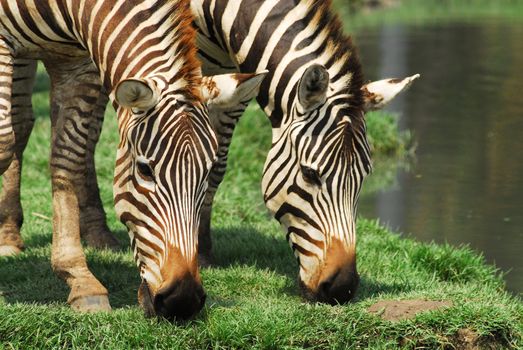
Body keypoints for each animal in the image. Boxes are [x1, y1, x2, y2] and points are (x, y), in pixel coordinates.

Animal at [0, 0, 237, 320]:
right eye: (145, 170)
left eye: (208, 174)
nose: (182, 300)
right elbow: (3, 144)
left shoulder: (77, 62)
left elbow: (67, 159)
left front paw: (80, 279)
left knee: (22, 121)